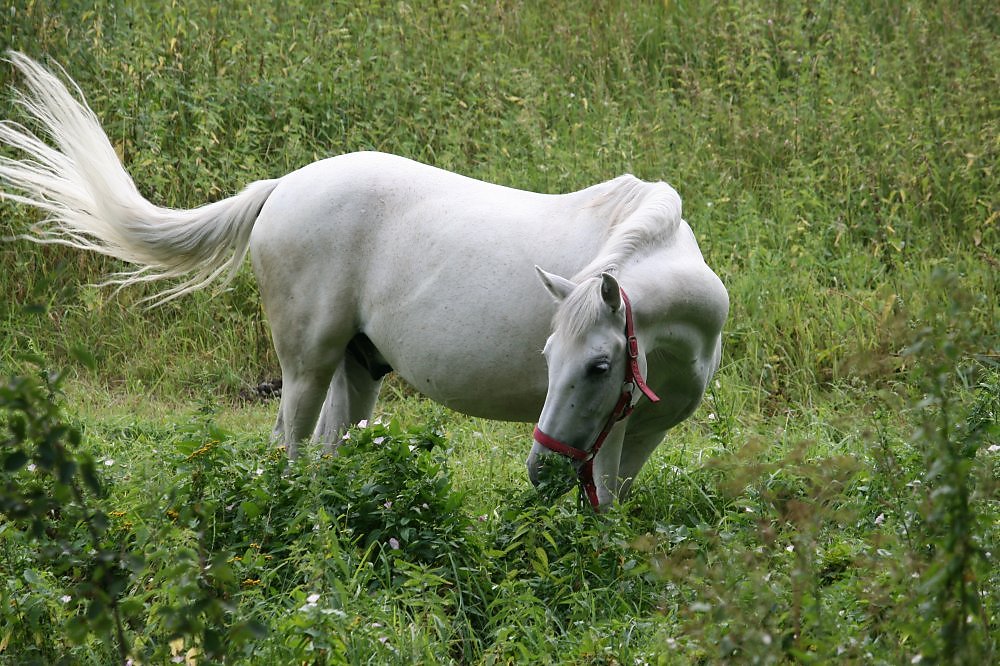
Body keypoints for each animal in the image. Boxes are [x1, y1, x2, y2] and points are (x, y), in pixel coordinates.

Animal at [0, 52, 724, 506]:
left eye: (599, 366)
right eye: (550, 357)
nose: (541, 471)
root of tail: (280, 186)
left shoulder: (642, 435)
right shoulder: (611, 436)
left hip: (359, 366)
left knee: (324, 457)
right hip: (308, 365)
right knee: (289, 450)